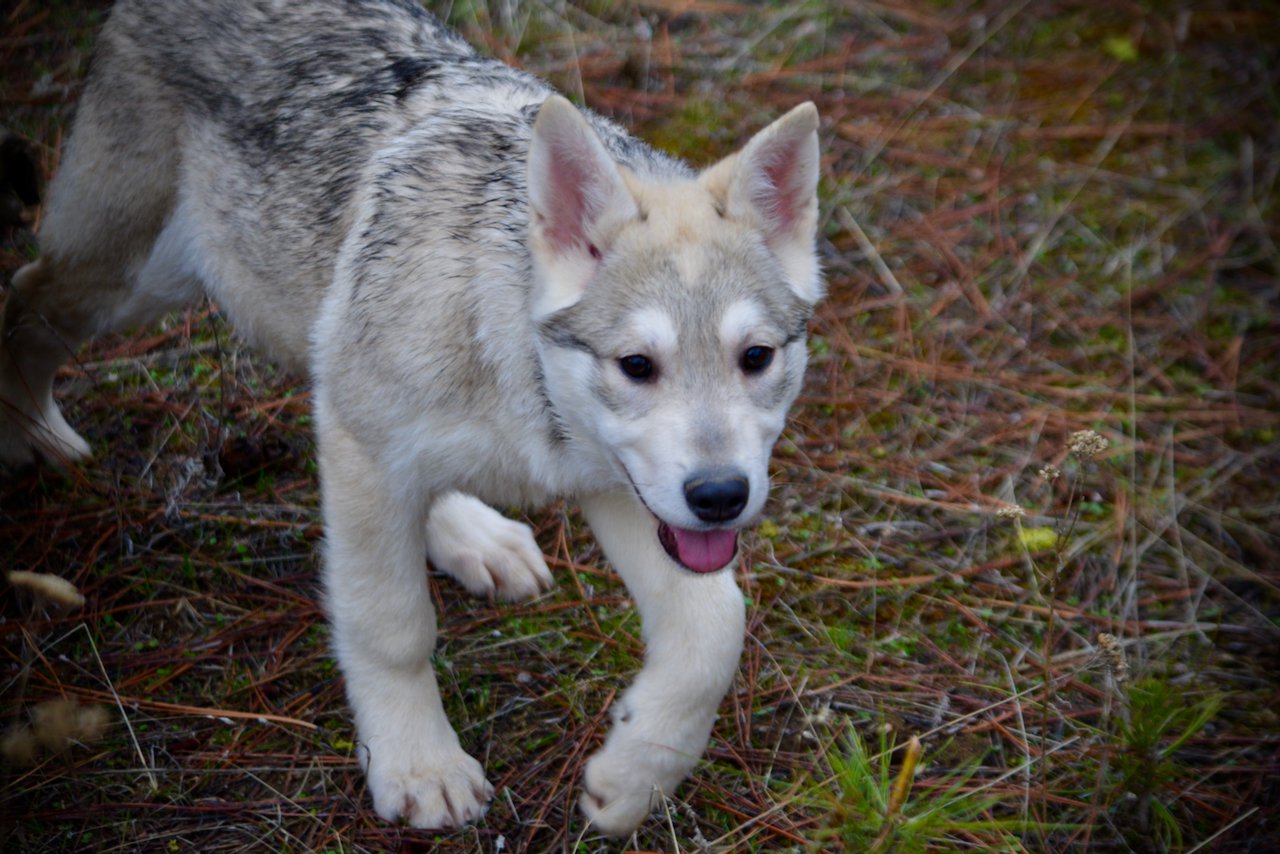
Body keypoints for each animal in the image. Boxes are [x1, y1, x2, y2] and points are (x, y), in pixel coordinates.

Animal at [0, 0, 819, 834]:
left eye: (756, 357)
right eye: (637, 366)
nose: (720, 498)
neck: (515, 360)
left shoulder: (615, 485)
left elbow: (715, 629)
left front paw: (632, 780)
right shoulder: (363, 450)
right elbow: (390, 625)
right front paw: (419, 766)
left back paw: (475, 537)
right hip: (139, 283)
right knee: (25, 293)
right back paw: (31, 433)